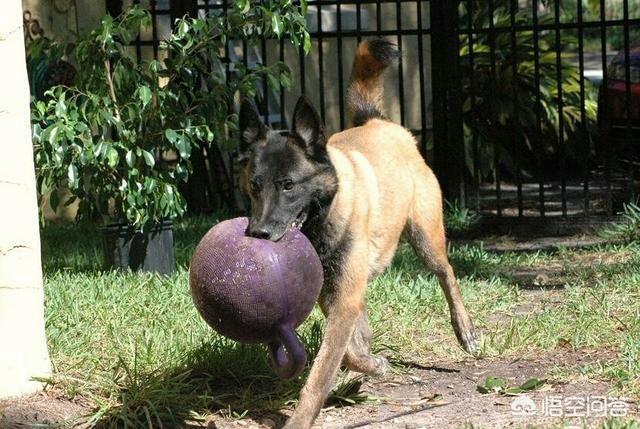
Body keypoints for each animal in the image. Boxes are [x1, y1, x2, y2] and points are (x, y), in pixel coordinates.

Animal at [236, 39, 476, 428]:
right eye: (255, 186)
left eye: (289, 185)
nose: (258, 233)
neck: (324, 216)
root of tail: (379, 122)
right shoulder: (333, 294)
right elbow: (348, 348)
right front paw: (369, 365)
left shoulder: (344, 297)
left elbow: (323, 370)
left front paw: (301, 417)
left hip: (425, 238)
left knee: (447, 273)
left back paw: (464, 329)